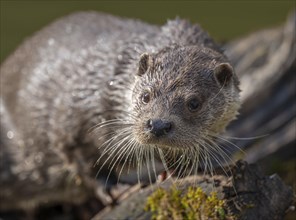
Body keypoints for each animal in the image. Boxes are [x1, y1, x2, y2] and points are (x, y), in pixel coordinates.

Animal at [0, 11, 239, 211]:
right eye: (146, 96)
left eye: (194, 103)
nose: (158, 124)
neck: (111, 86)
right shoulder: (72, 119)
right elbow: (86, 162)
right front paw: (114, 189)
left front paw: (178, 170)